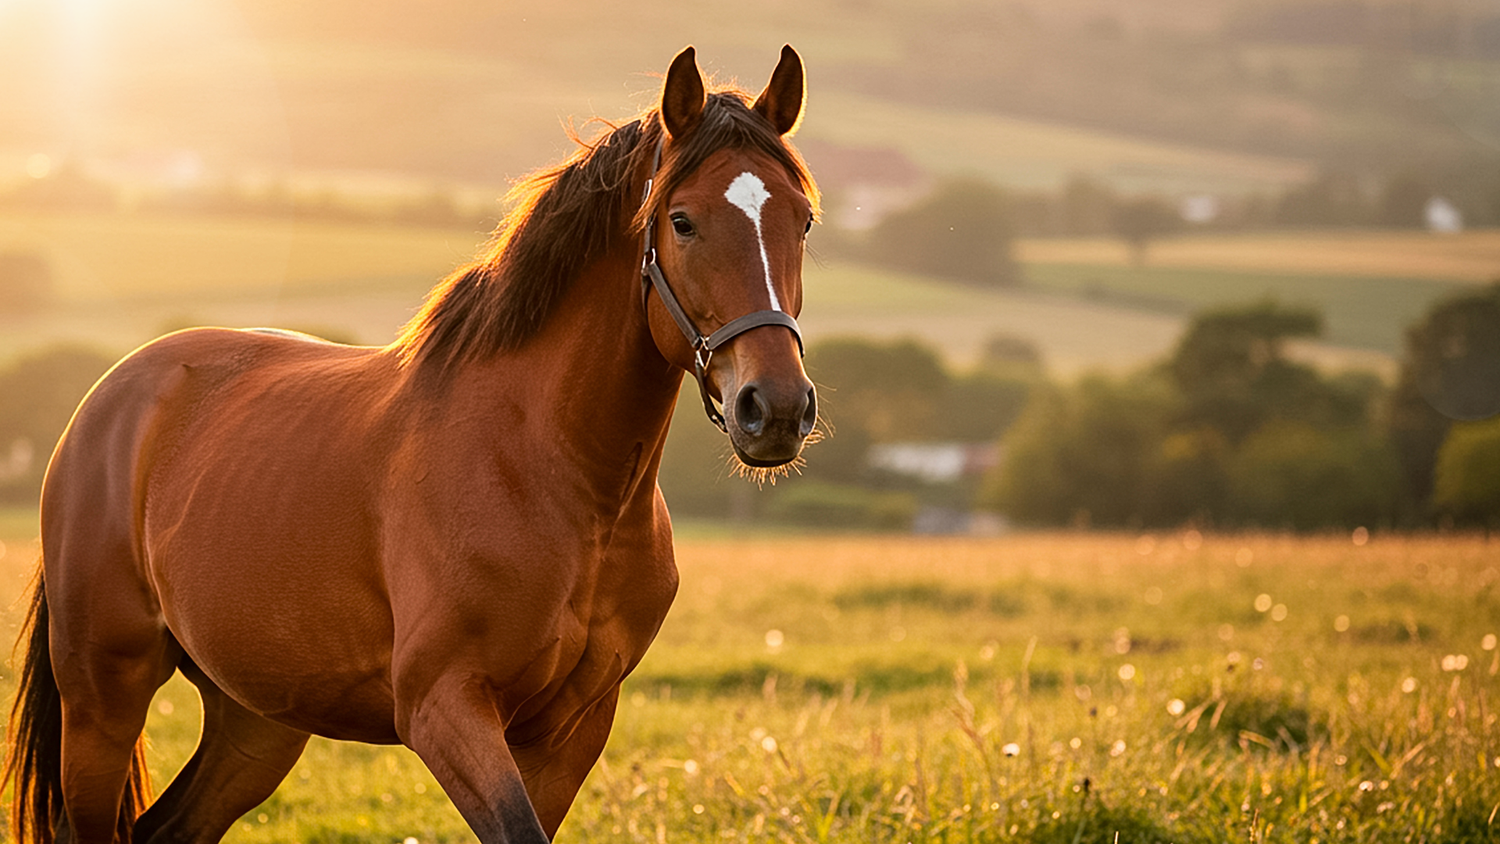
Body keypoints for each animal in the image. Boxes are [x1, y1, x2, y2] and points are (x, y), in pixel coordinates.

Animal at [4, 45, 819, 844]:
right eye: (681, 221)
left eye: (803, 220)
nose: (774, 407)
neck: (560, 478)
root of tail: (108, 401)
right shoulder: (443, 706)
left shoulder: (572, 728)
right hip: (104, 699)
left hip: (256, 722)